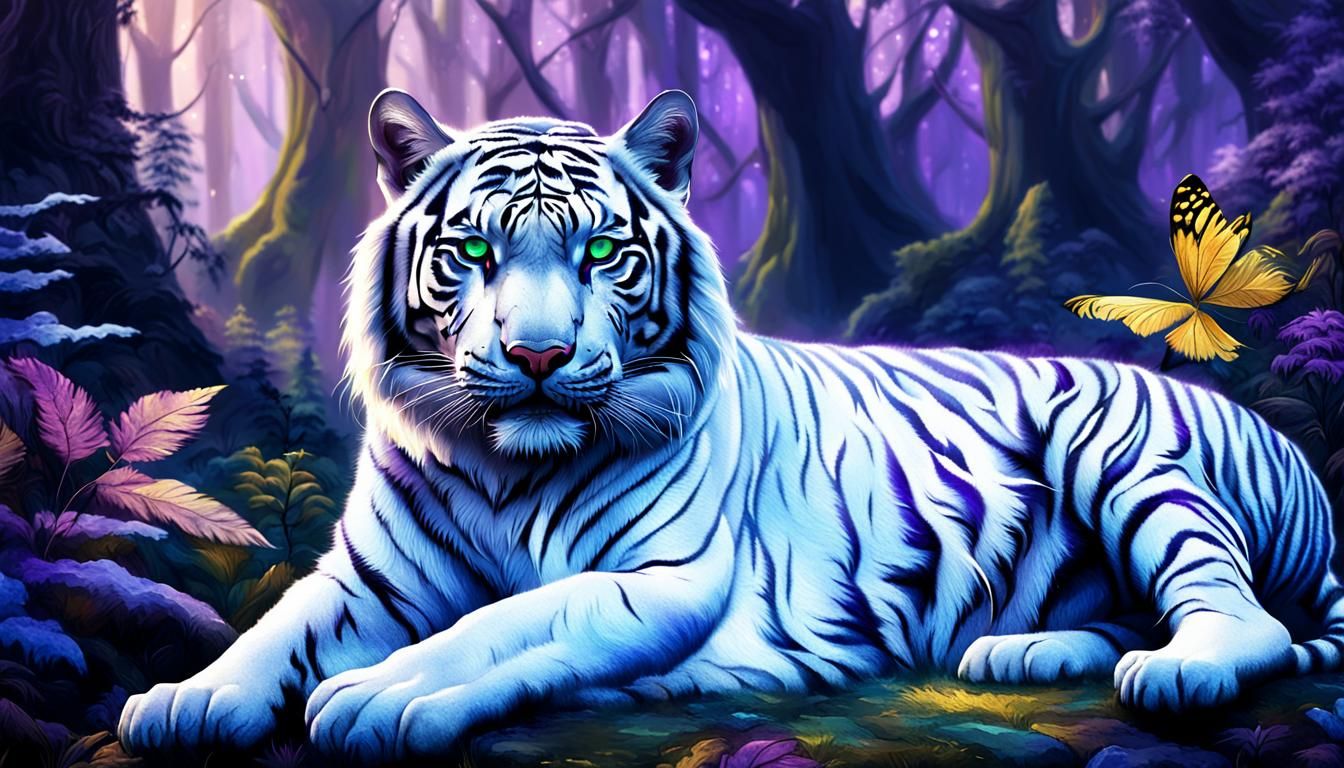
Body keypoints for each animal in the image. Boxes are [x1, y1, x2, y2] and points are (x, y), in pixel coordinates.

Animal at [118, 89, 1344, 762]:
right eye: (471, 252)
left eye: (600, 253)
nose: (538, 357)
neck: (508, 470)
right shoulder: (371, 577)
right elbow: (280, 626)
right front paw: (186, 702)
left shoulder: (662, 578)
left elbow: (505, 623)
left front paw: (378, 694)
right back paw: (1020, 648)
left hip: (1131, 460)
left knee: (1241, 619)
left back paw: (1176, 672)